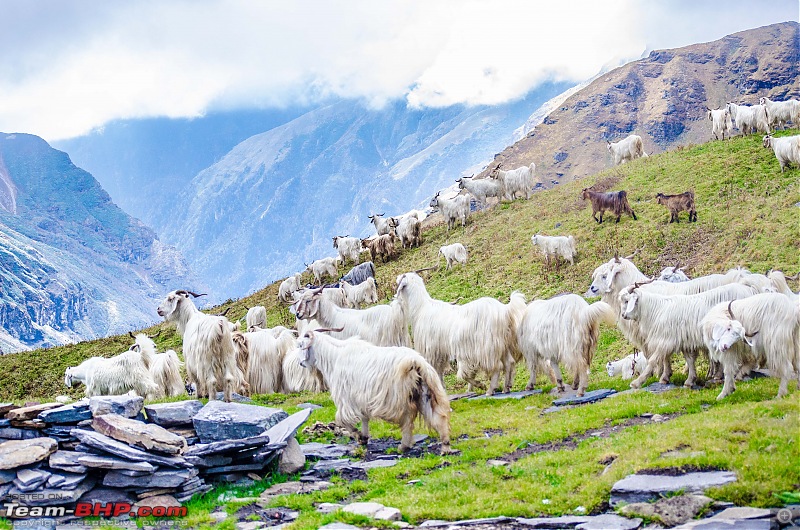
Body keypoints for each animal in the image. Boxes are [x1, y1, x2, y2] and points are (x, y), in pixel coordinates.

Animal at [298, 326, 454, 450]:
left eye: (300, 345)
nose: (301, 363)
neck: (334, 356)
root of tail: (414, 362)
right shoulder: (361, 399)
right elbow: (364, 418)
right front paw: (364, 438)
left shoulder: (346, 398)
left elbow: (342, 420)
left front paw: (359, 436)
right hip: (424, 393)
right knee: (437, 417)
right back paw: (445, 446)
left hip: (399, 398)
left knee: (407, 420)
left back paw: (404, 446)